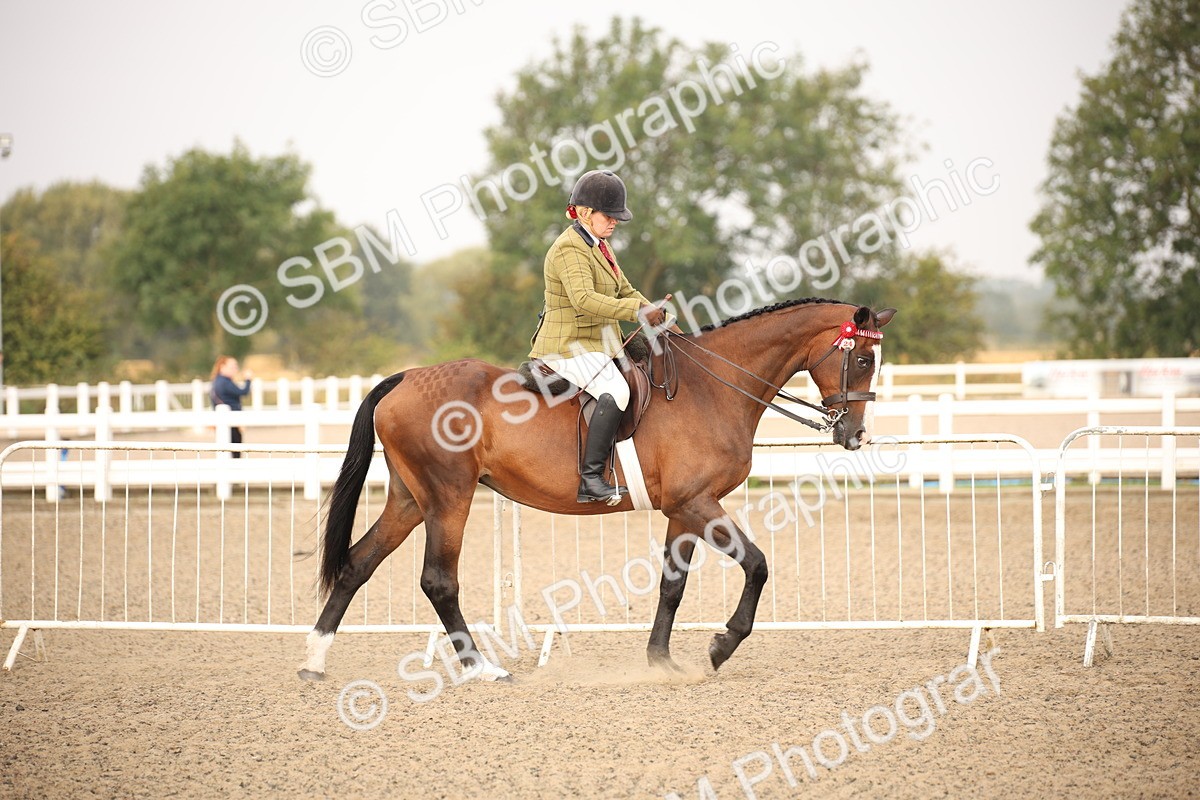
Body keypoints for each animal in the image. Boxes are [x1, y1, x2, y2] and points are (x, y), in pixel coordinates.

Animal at [298, 298, 896, 681]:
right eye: (863, 358)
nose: (855, 434)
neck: (713, 387)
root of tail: (404, 378)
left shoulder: (684, 509)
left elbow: (672, 586)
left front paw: (660, 661)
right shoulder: (699, 503)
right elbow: (758, 564)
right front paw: (721, 646)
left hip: (410, 500)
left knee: (358, 564)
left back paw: (314, 661)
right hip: (449, 499)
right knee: (438, 581)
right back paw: (481, 669)